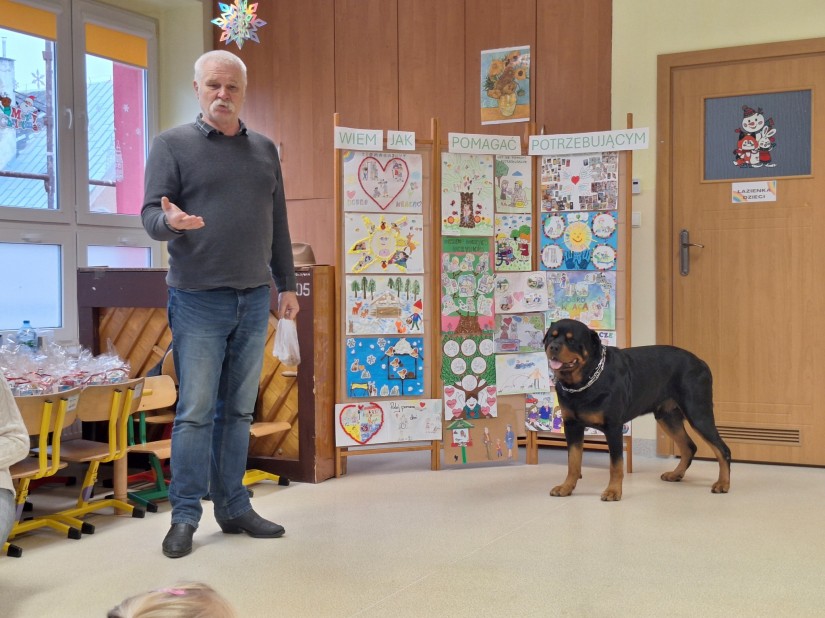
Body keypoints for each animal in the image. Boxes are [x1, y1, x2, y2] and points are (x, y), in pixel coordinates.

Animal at [543, 319, 731, 501]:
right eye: (552, 336)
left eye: (572, 340)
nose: (553, 347)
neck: (582, 382)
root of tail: (701, 362)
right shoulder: (572, 426)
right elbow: (573, 461)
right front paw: (566, 487)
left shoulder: (613, 427)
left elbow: (616, 464)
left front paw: (613, 491)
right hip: (667, 417)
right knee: (689, 447)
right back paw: (676, 474)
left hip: (698, 413)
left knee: (723, 449)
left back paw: (723, 483)